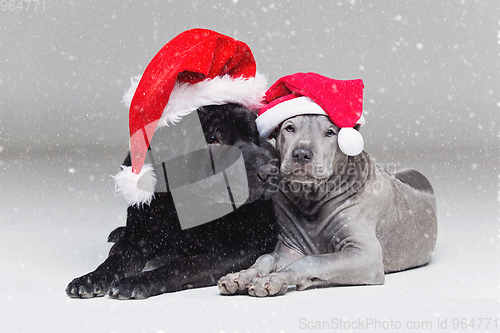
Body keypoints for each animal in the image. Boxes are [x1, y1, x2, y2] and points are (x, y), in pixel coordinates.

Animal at [66, 104, 278, 298]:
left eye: (253, 137)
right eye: (212, 139)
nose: (268, 171)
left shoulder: (243, 248)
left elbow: (184, 264)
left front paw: (138, 282)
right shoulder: (137, 236)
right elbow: (117, 257)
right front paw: (91, 278)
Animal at [219, 113, 438, 296]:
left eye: (330, 132)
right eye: (289, 128)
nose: (301, 154)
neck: (311, 201)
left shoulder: (366, 254)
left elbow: (311, 260)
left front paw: (275, 279)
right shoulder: (290, 248)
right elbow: (266, 258)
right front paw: (241, 276)